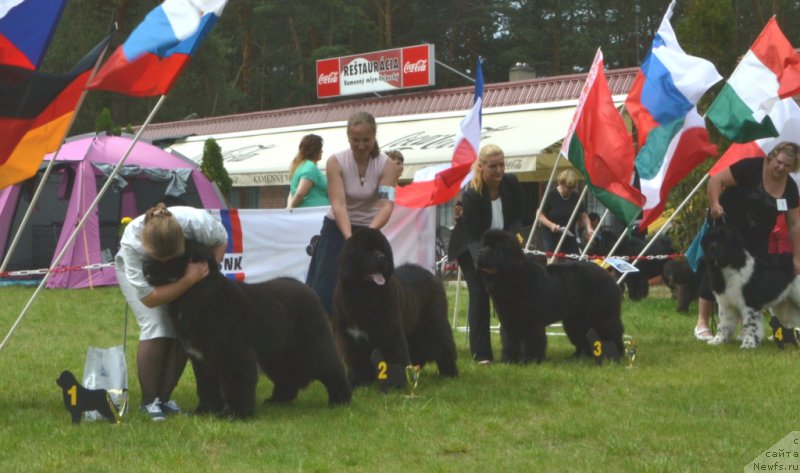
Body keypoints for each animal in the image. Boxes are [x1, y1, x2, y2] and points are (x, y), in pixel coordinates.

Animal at [332, 228, 456, 388]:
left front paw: (395, 384)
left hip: (434, 323)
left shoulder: (389, 332)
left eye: (381, 249)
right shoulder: (352, 337)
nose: (382, 258)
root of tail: (433, 276)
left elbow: (393, 356)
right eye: (367, 250)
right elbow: (357, 361)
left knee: (444, 345)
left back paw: (449, 373)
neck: (364, 294)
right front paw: (358, 382)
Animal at [476, 229, 624, 362]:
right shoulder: (509, 320)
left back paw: (620, 356)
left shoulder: (531, 321)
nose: (480, 251)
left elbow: (532, 340)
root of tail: (608, 276)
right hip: (575, 320)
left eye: (495, 248)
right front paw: (509, 360)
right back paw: (578, 358)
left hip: (604, 316)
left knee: (615, 334)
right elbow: (509, 341)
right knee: (581, 338)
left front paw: (530, 360)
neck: (509, 276)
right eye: (484, 245)